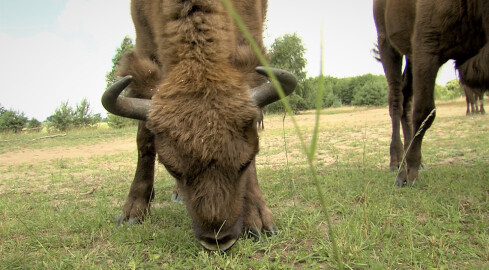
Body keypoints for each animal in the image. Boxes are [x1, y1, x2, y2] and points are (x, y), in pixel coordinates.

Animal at [101, 0, 296, 253]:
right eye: (172, 169)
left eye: (245, 163)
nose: (218, 239)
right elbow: (144, 139)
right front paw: (132, 212)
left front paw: (259, 221)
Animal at [374, 0, 488, 186]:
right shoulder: (426, 46)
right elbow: (424, 112)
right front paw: (407, 175)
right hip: (387, 44)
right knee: (396, 100)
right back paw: (397, 161)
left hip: (410, 57)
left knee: (407, 98)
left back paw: (415, 160)